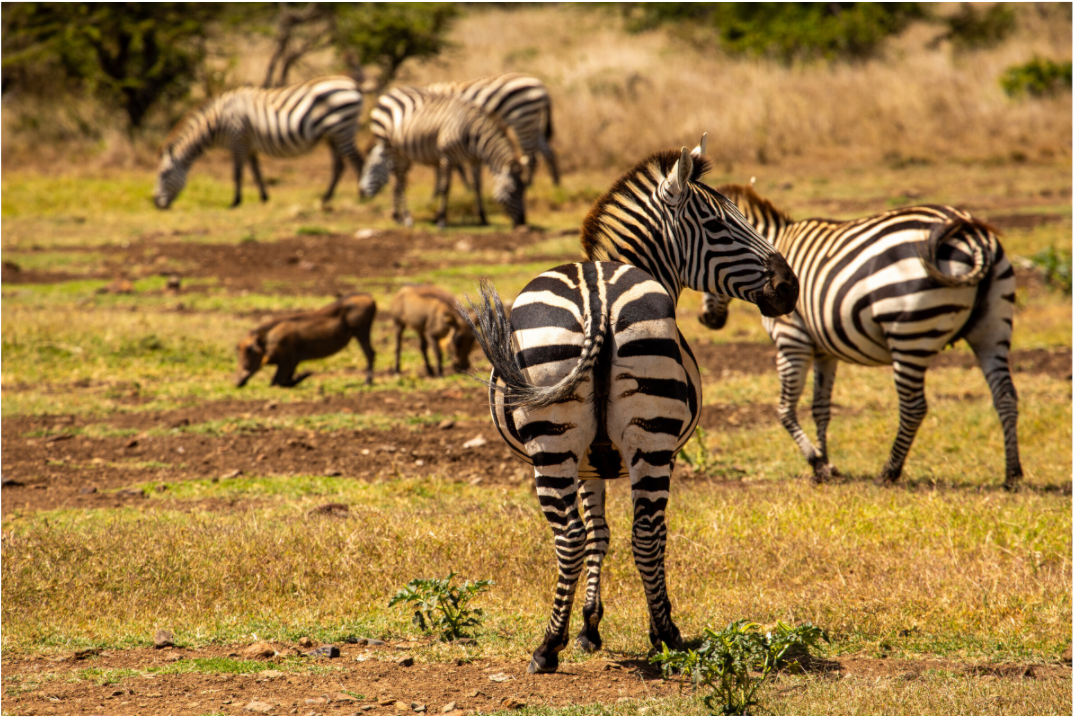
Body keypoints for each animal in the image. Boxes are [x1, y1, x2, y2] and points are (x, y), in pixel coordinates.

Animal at [153, 76, 363, 209]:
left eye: (164, 174)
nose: (155, 203)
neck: (217, 123)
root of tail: (353, 85)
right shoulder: (249, 145)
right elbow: (256, 172)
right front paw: (264, 197)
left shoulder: (237, 140)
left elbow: (237, 173)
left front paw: (235, 201)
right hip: (333, 135)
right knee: (339, 166)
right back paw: (326, 197)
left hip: (341, 129)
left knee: (357, 160)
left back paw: (362, 194)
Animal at [360, 86, 526, 228]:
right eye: (512, 191)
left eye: (524, 189)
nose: (522, 222)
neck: (473, 134)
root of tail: (389, 93)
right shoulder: (447, 156)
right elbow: (445, 187)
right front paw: (441, 220)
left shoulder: (475, 160)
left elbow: (477, 186)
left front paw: (483, 218)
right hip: (391, 148)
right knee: (400, 182)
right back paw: (406, 218)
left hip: (402, 153)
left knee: (397, 181)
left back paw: (397, 216)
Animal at [425, 73, 560, 186]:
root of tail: (541, 86)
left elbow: (447, 165)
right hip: (533, 122)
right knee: (547, 152)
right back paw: (555, 183)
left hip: (522, 120)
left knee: (531, 156)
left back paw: (528, 185)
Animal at [464, 138, 798, 674]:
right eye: (720, 226)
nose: (789, 287)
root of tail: (598, 299)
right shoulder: (600, 462)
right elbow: (604, 533)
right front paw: (589, 626)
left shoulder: (588, 461)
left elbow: (598, 533)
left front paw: (587, 627)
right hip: (643, 443)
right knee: (639, 533)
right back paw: (656, 634)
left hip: (565, 444)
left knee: (582, 536)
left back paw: (557, 645)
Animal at [697, 183, 1022, 488]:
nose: (705, 319)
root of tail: (970, 234)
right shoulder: (824, 351)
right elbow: (820, 408)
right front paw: (827, 464)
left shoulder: (791, 340)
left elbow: (785, 410)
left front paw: (817, 463)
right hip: (993, 328)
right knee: (1005, 396)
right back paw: (1012, 474)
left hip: (909, 333)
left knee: (914, 407)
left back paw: (889, 472)